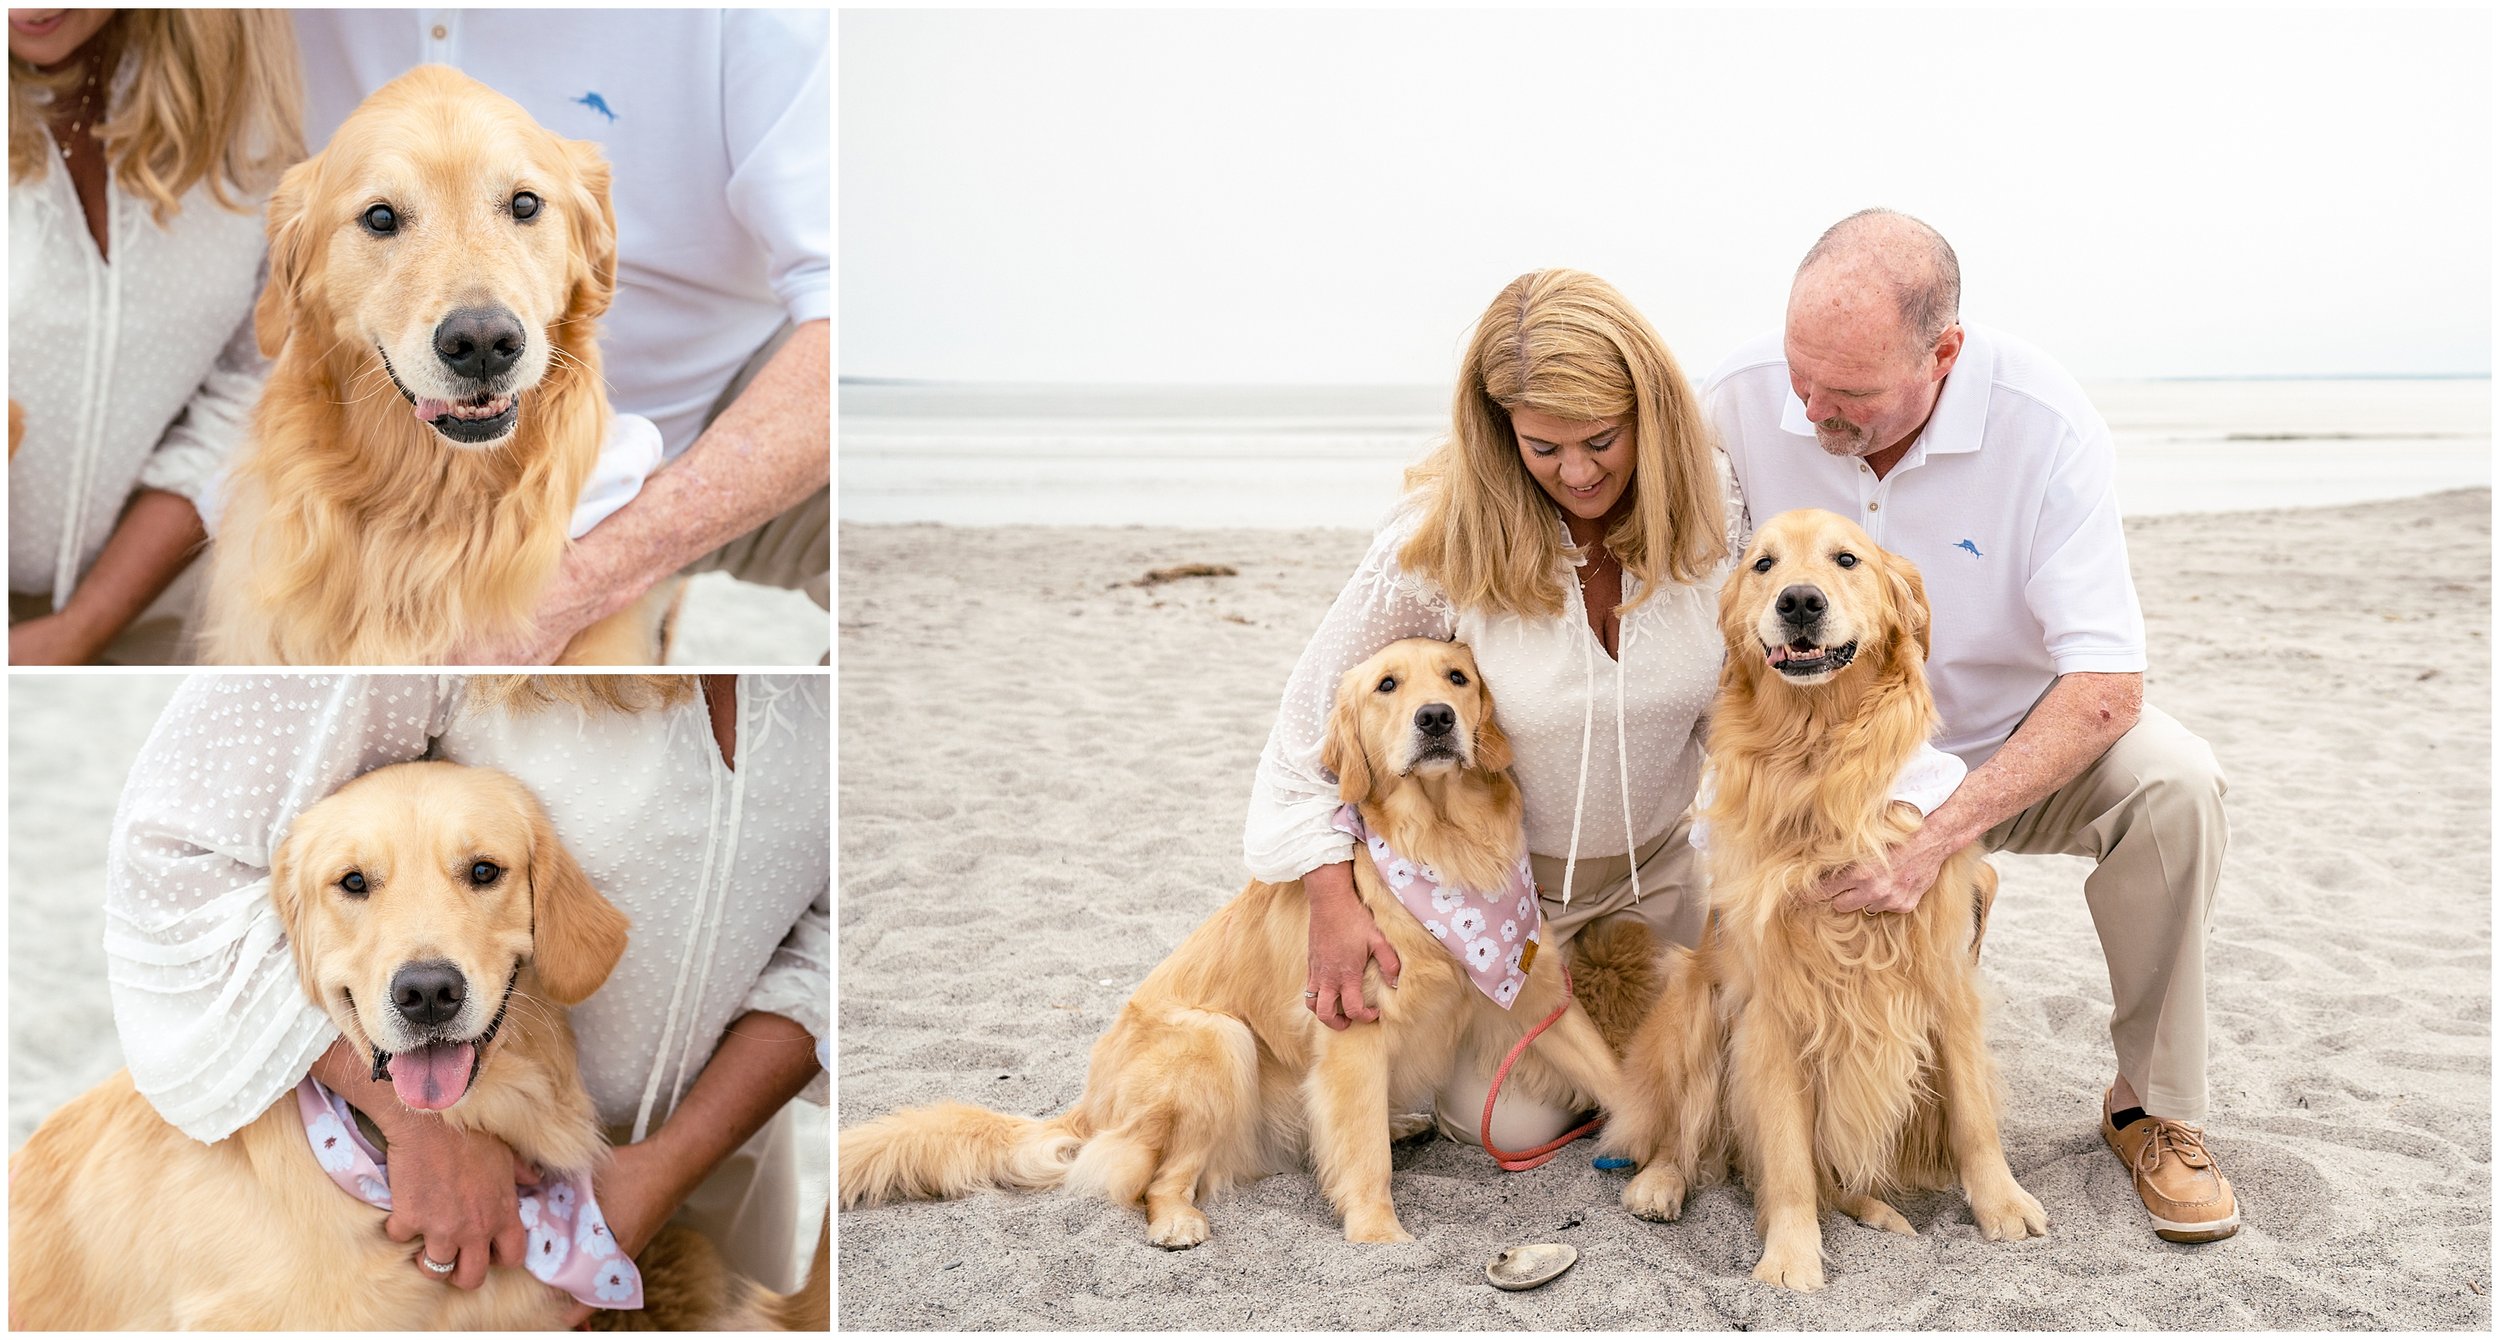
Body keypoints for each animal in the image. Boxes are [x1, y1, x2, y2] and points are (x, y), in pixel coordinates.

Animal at [840, 637, 1620, 1245]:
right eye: (1388, 685)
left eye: (1457, 678)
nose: (1436, 718)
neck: (1443, 845)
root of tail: (1089, 1104)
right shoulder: (1353, 1028)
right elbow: (1361, 1153)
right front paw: (1378, 1236)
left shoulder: (1535, 994)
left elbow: (1612, 1073)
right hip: (1217, 1041)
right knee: (1154, 1181)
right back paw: (1177, 1222)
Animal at [1600, 510, 2050, 1290]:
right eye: (1763, 564)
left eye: (1847, 559)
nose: (1800, 602)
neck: (1819, 762)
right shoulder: (1773, 1012)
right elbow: (1786, 1158)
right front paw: (1790, 1255)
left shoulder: (1945, 981)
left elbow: (1973, 1117)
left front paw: (2003, 1205)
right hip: (1697, 1006)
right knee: (1685, 1135)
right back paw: (1659, 1183)